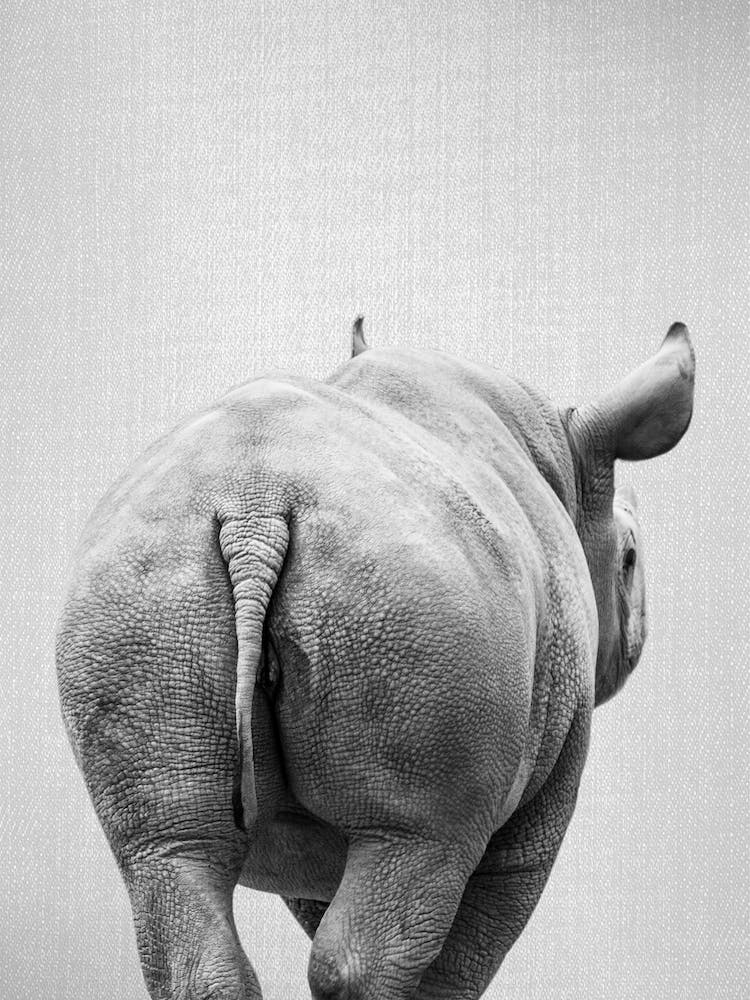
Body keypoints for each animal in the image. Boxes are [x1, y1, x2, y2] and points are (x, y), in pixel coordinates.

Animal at [56, 319, 695, 1000]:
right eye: (630, 559)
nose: (640, 634)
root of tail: (253, 508)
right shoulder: (538, 788)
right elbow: (471, 942)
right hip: (411, 601)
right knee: (409, 853)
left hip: (142, 591)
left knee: (169, 853)